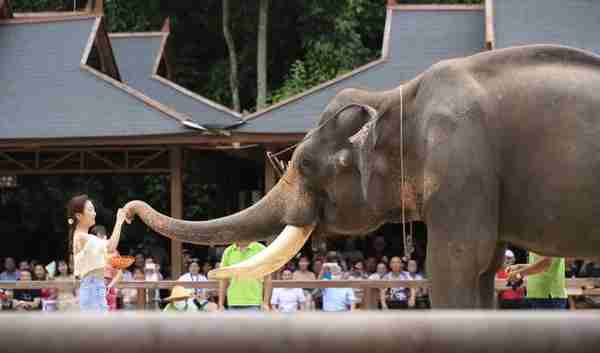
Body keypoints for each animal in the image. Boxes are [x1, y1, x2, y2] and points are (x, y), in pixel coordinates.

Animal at [124, 45, 600, 306]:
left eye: (305, 164)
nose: (127, 213)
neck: (397, 96)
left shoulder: (461, 164)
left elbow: (455, 263)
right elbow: (483, 270)